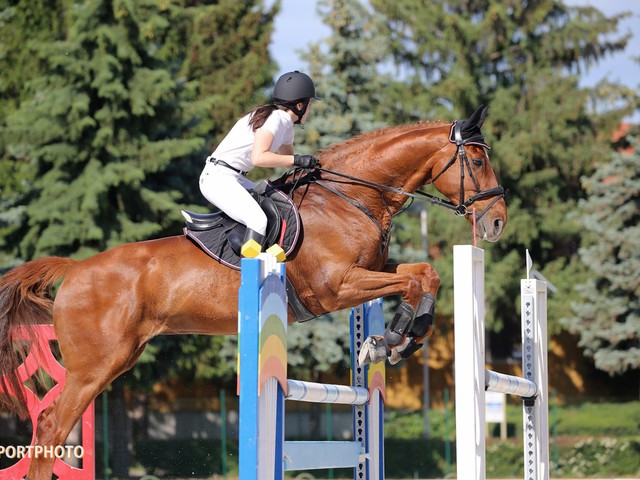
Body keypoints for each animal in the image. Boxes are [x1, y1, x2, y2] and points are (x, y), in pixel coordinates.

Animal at [2, 104, 508, 476]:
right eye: (477, 160)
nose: (497, 221)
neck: (350, 198)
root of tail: (76, 269)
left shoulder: (369, 270)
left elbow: (424, 273)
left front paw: (393, 341)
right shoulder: (337, 286)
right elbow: (414, 279)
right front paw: (393, 338)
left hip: (117, 359)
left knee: (52, 427)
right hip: (94, 366)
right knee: (51, 426)